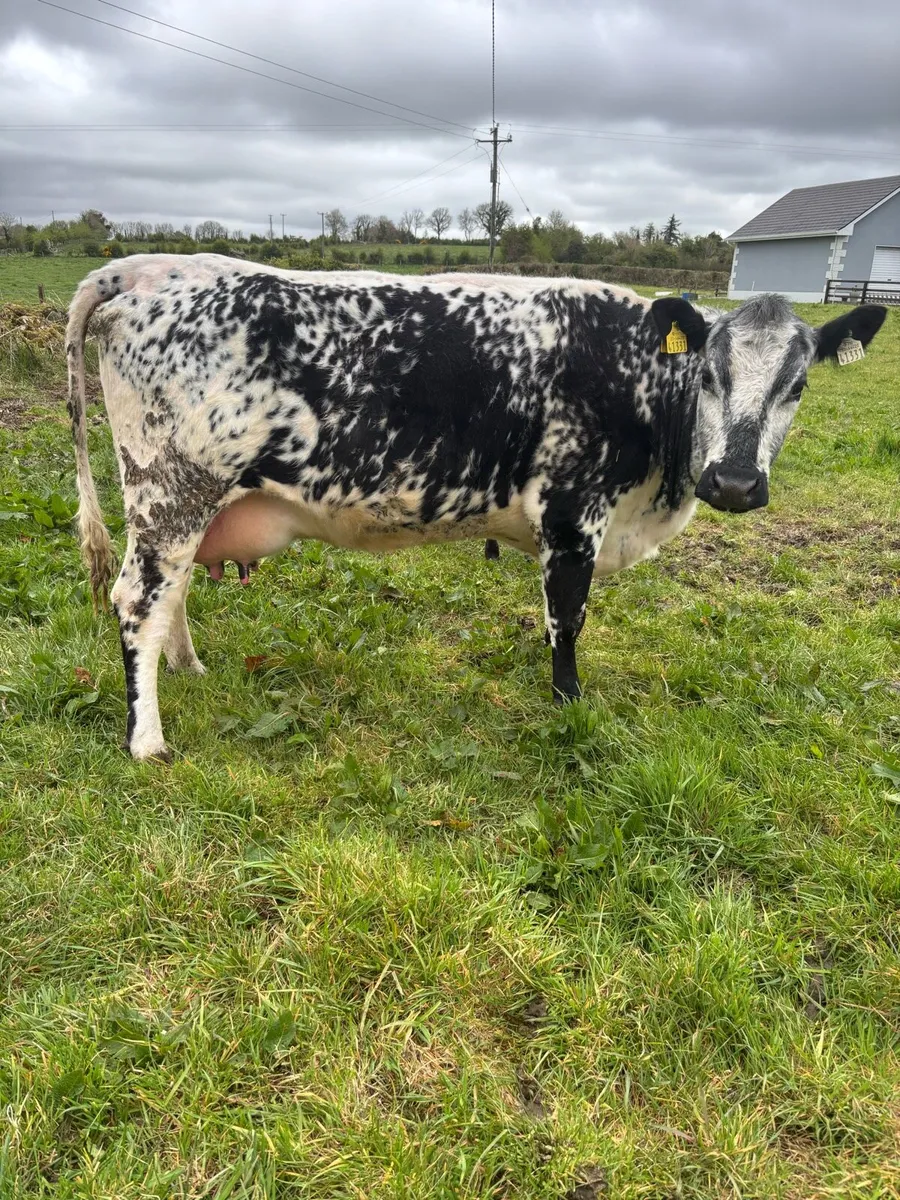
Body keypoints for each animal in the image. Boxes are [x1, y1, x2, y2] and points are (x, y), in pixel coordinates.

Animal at [65, 254, 886, 760]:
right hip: (173, 488)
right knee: (137, 600)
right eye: (710, 374)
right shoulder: (572, 511)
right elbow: (566, 620)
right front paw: (568, 707)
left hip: (180, 506)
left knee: (170, 595)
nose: (736, 484)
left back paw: (191, 669)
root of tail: (138, 272)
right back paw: (147, 740)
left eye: (798, 385)